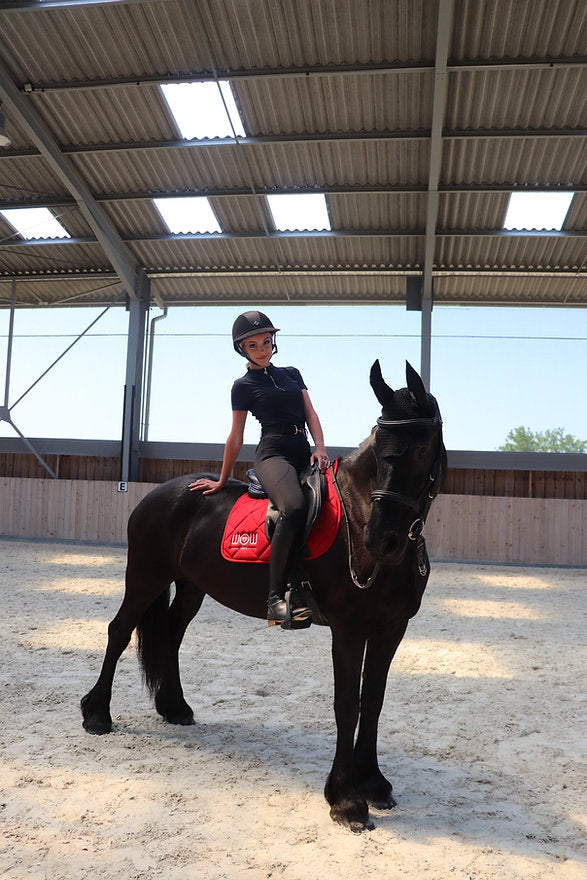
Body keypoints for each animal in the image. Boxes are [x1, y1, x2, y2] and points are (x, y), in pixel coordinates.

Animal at [81, 360, 446, 833]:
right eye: (380, 450)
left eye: (421, 450)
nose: (381, 539)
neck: (358, 514)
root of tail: (159, 493)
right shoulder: (349, 629)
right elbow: (347, 704)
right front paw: (346, 799)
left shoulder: (391, 628)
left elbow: (374, 701)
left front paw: (374, 784)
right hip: (146, 577)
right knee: (119, 631)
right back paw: (96, 714)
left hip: (191, 586)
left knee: (171, 636)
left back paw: (174, 707)